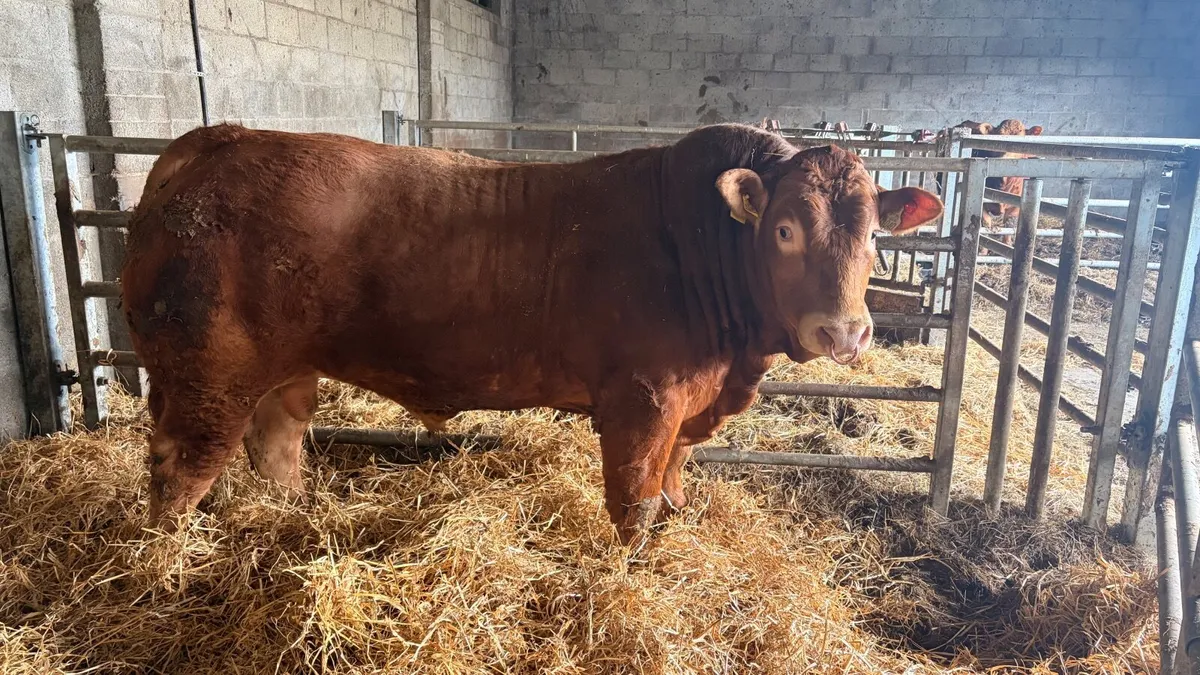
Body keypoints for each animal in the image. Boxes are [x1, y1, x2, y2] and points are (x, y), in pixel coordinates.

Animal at [121, 123, 943, 544]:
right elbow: (636, 501)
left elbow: (674, 485)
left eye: (874, 235)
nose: (844, 330)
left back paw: (293, 520)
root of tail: (214, 142)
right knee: (180, 470)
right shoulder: (643, 400)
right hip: (209, 374)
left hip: (286, 367)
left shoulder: (688, 408)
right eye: (783, 230)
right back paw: (165, 568)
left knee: (278, 443)